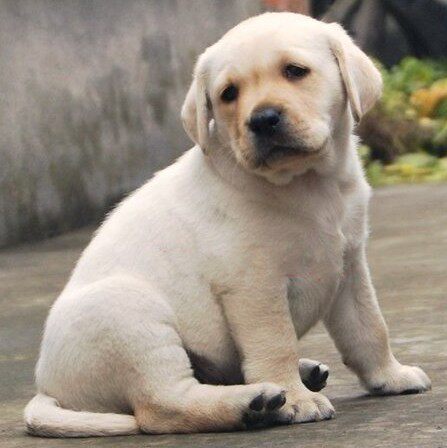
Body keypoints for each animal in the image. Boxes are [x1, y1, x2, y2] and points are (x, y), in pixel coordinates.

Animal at [24, 12, 431, 437]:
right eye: (228, 94)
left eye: (295, 71)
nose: (263, 119)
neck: (309, 183)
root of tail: (48, 387)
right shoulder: (254, 285)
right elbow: (275, 342)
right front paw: (295, 398)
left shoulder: (349, 265)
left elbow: (370, 328)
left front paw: (390, 376)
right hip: (129, 313)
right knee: (162, 405)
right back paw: (255, 403)